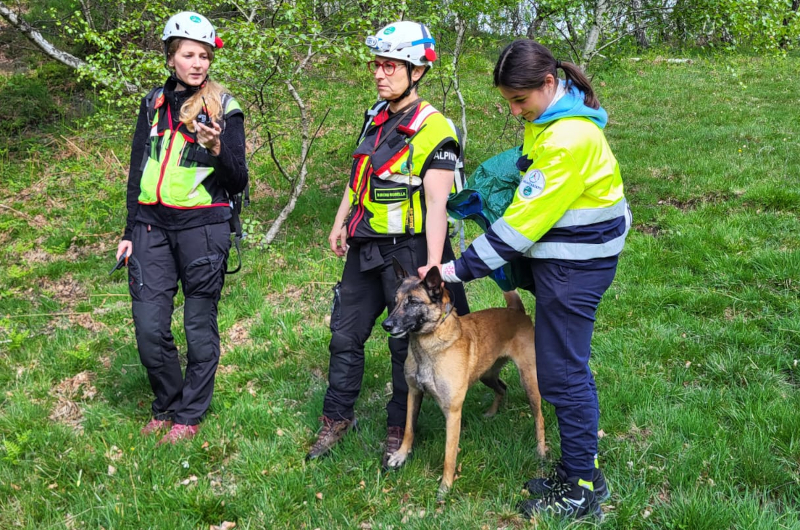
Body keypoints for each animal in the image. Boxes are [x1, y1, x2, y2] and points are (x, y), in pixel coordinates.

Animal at [382, 262, 548, 498]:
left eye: (413, 302)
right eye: (395, 301)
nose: (386, 325)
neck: (428, 345)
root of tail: (516, 311)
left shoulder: (452, 412)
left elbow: (449, 454)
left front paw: (445, 486)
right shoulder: (414, 393)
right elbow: (408, 429)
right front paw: (401, 455)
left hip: (529, 381)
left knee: (538, 418)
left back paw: (541, 450)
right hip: (486, 374)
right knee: (502, 388)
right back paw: (491, 412)